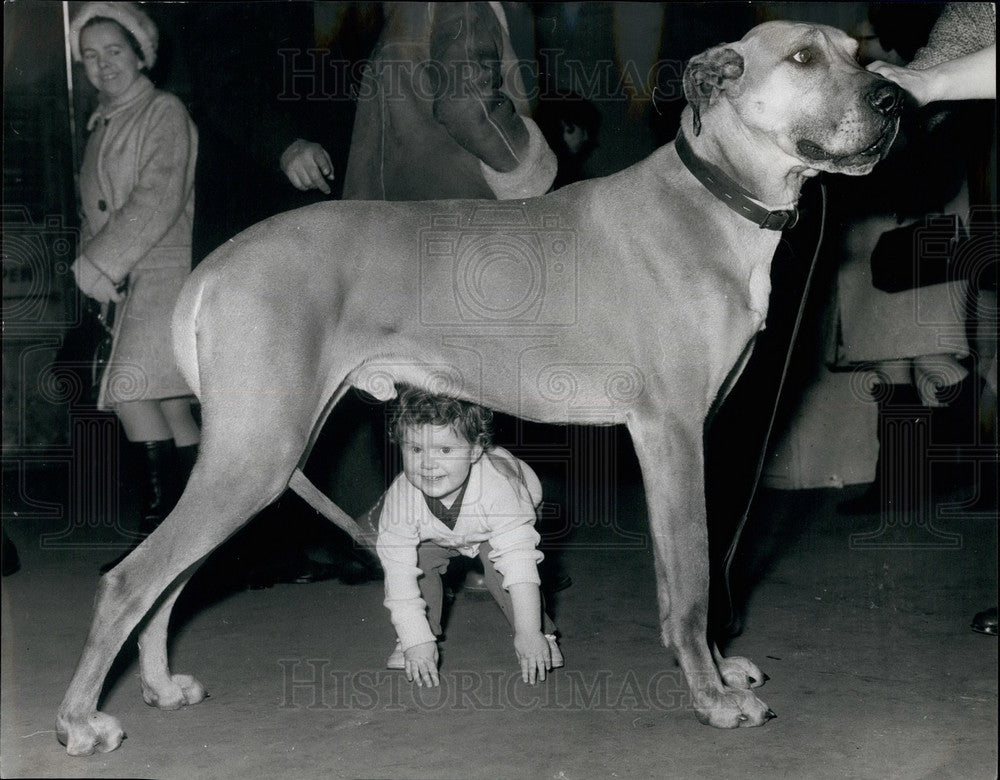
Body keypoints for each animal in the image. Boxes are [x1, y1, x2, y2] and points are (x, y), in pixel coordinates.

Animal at [54, 21, 904, 752]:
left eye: (859, 53)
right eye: (802, 58)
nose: (893, 98)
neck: (713, 196)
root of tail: (215, 265)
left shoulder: (683, 438)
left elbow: (679, 577)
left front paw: (716, 673)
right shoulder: (672, 435)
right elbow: (690, 579)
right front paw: (712, 696)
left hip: (249, 462)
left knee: (167, 583)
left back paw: (160, 685)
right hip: (256, 458)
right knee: (129, 580)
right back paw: (79, 720)